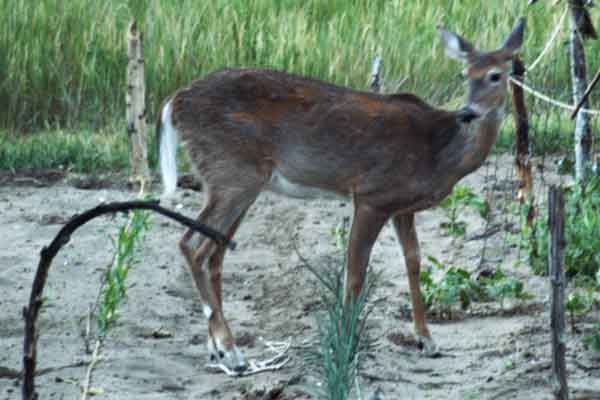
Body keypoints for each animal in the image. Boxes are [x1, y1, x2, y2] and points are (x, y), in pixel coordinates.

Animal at [156, 19, 524, 376]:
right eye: (465, 75)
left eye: (496, 75)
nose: (468, 112)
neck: (440, 153)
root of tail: (173, 103)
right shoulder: (373, 194)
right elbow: (356, 270)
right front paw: (345, 345)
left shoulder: (402, 206)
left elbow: (413, 261)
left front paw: (426, 340)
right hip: (233, 173)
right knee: (193, 246)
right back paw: (231, 352)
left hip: (231, 180)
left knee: (213, 253)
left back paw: (218, 350)